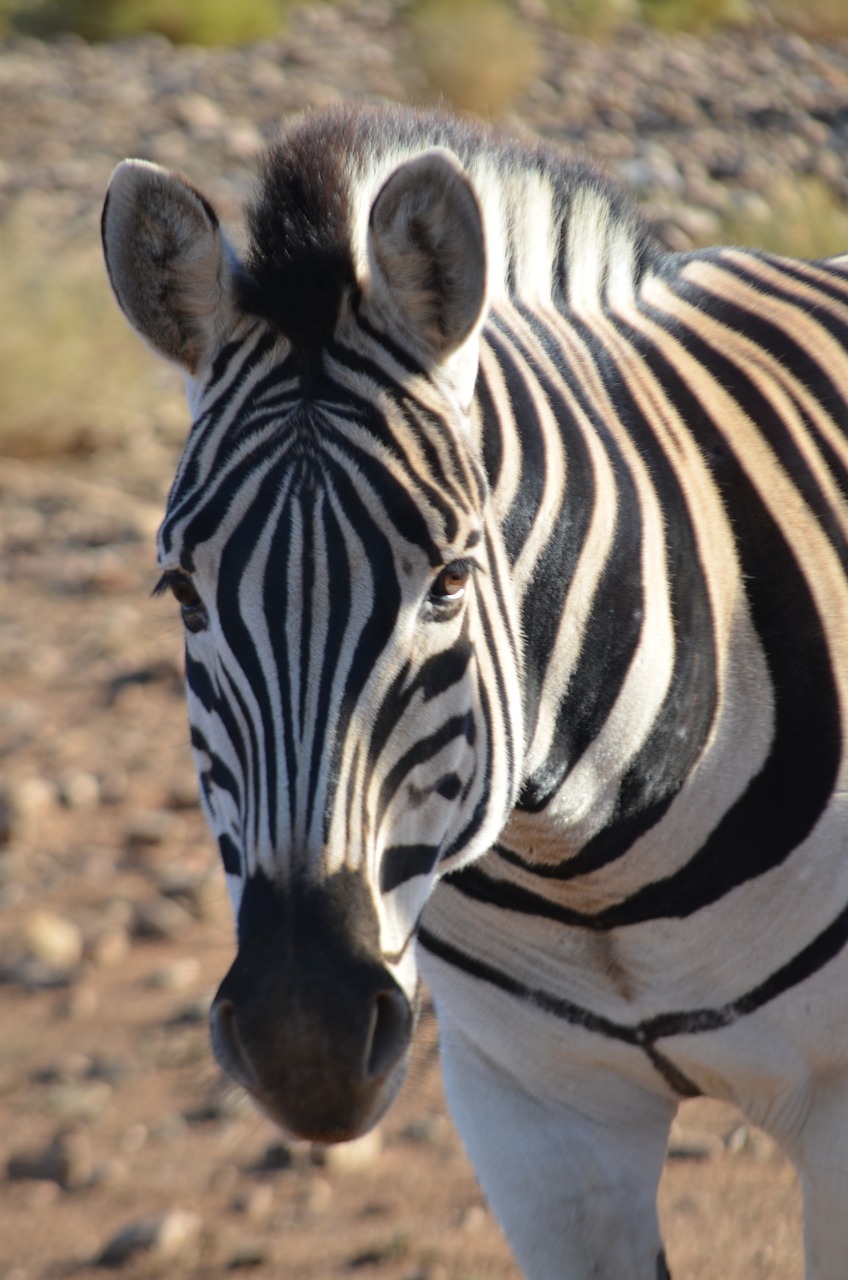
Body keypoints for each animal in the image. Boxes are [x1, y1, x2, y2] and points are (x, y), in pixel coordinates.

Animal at [103, 107, 848, 1280]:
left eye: (450, 582)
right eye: (182, 595)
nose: (303, 1040)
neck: (588, 864)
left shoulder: (835, 1114)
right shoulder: (533, 1117)